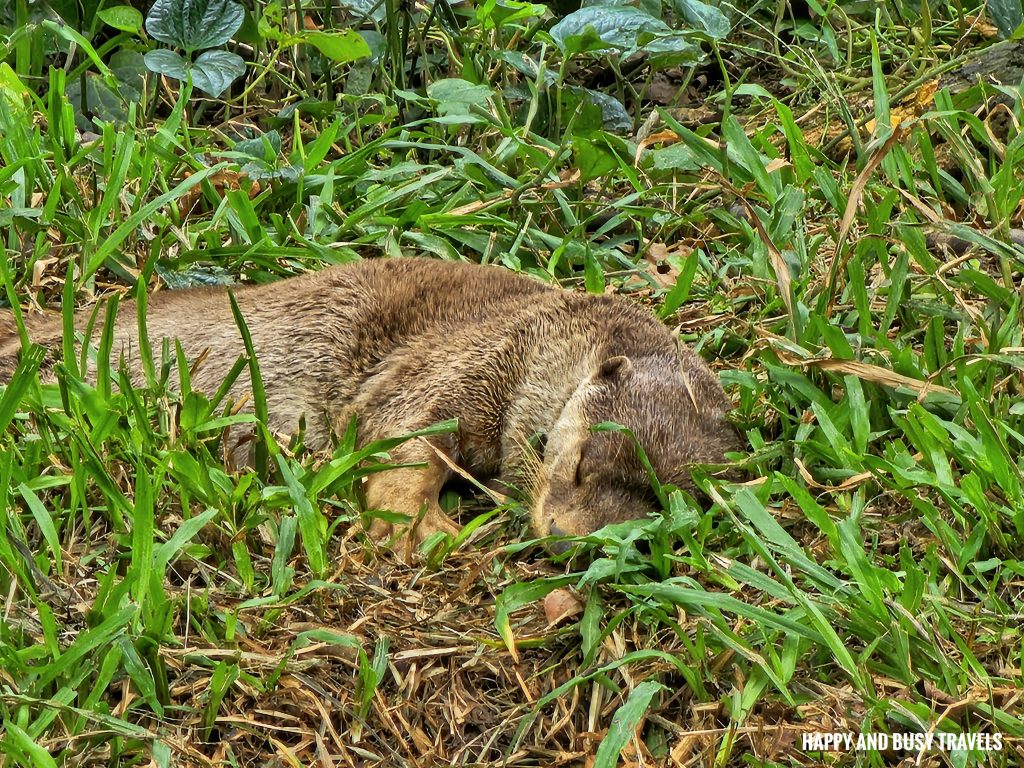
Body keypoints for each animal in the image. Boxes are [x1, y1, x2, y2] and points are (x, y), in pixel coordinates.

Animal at [0, 259, 741, 548]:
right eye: (581, 462)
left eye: (648, 516)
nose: (563, 532)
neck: (540, 345)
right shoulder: (460, 363)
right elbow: (404, 441)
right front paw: (420, 527)